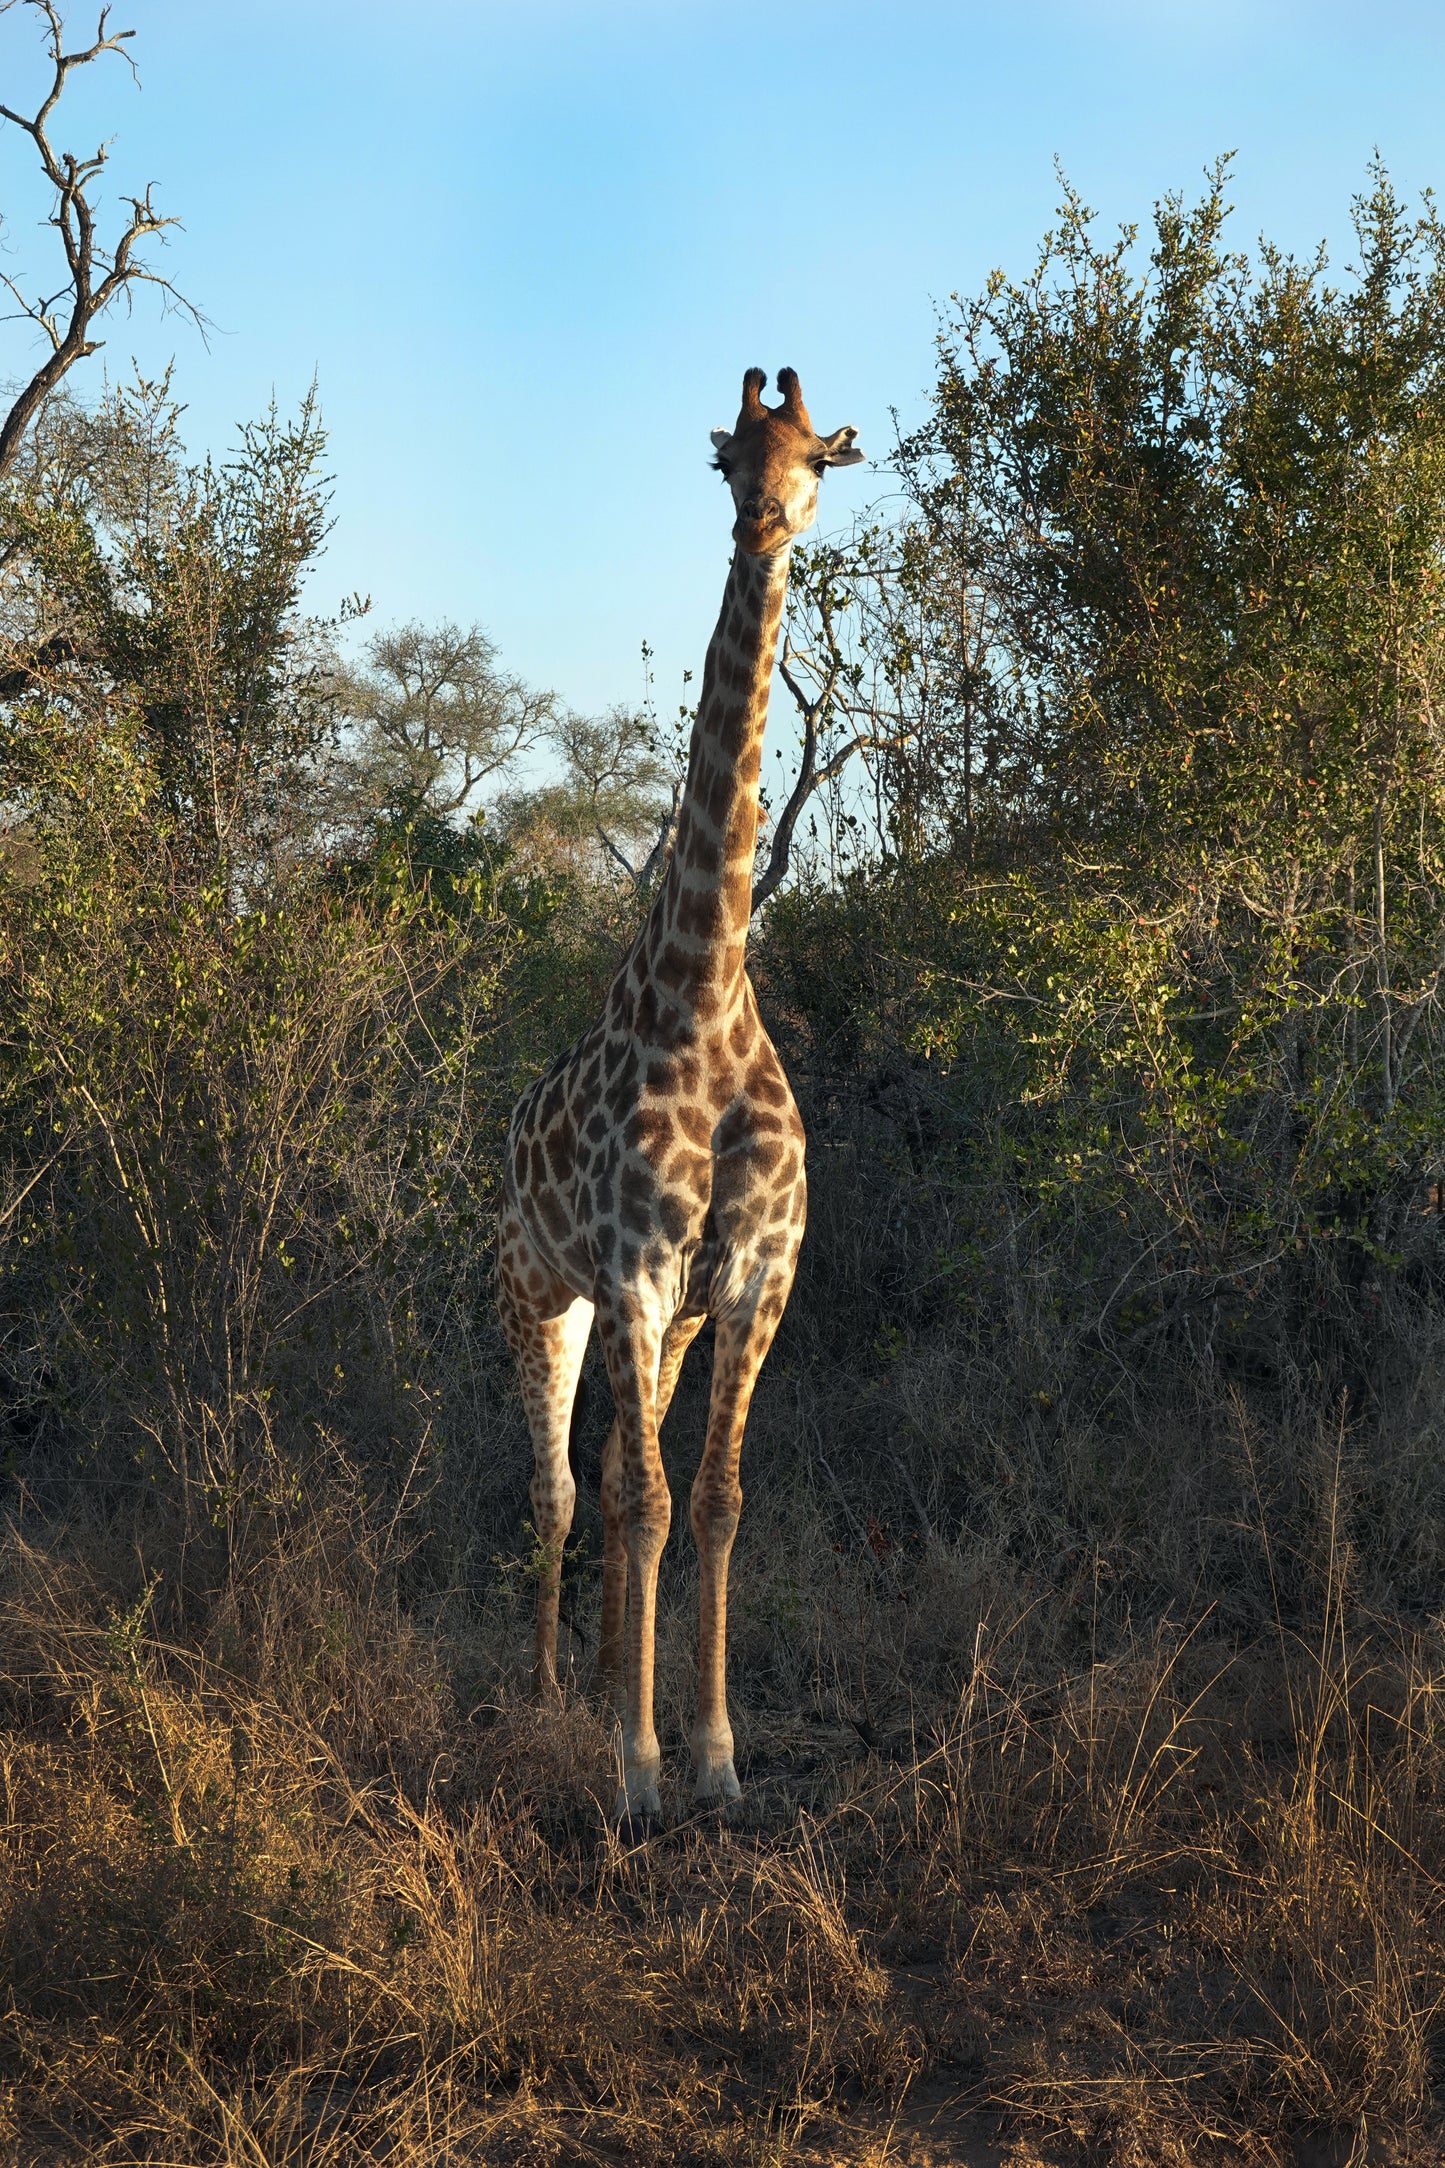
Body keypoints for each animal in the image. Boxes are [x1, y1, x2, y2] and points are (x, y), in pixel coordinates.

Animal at [498, 364, 866, 1821]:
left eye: (817, 456)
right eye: (725, 457)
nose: (760, 522)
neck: (703, 995)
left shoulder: (750, 1282)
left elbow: (710, 1500)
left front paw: (711, 1754)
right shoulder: (637, 1271)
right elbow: (647, 1503)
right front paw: (637, 1766)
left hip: (657, 1317)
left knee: (612, 1473)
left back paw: (609, 1684)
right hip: (539, 1292)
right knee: (559, 1488)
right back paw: (554, 1696)